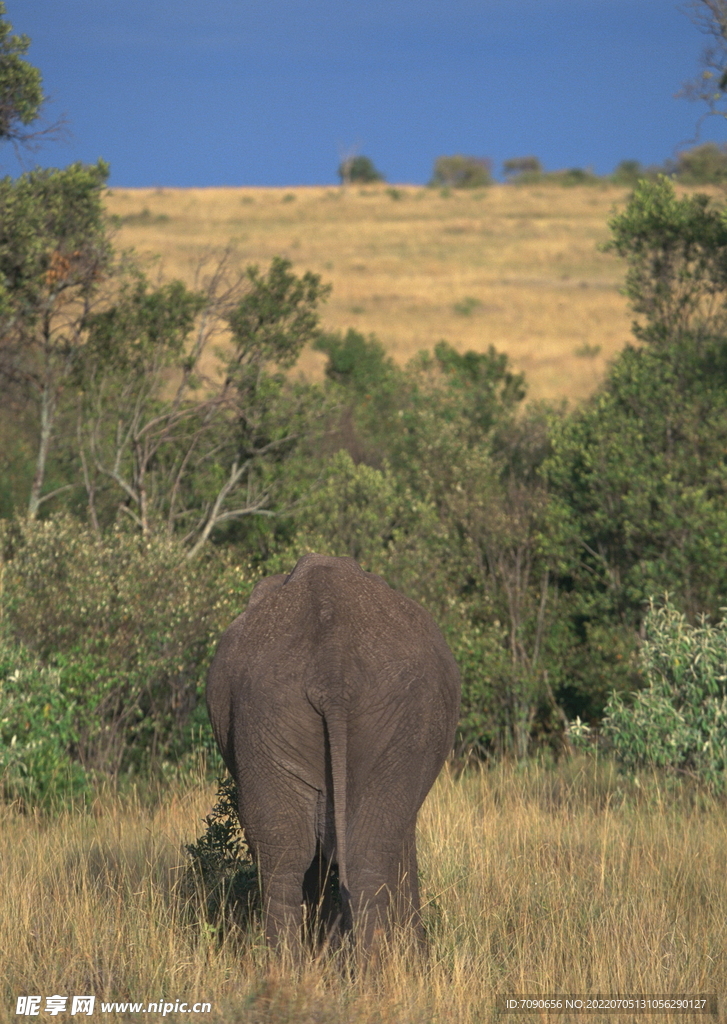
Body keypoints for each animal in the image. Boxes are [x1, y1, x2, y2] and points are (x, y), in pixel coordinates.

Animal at [206, 552, 460, 950]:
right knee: (366, 852)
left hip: (266, 712)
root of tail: (332, 668)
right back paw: (375, 965)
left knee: (285, 854)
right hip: (398, 720)